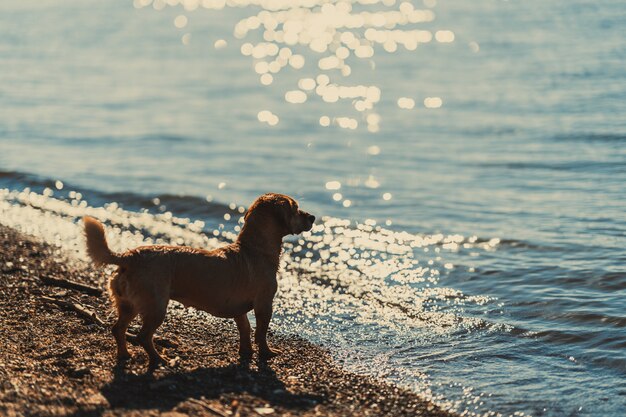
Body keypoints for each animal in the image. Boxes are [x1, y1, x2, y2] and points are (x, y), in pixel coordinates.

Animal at [83, 192, 314, 368]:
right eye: (296, 208)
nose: (312, 216)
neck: (254, 249)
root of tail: (129, 256)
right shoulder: (264, 304)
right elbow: (261, 333)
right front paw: (267, 353)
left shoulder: (240, 310)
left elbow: (245, 330)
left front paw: (246, 352)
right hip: (156, 307)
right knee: (143, 337)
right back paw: (160, 360)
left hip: (128, 305)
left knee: (118, 329)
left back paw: (125, 355)